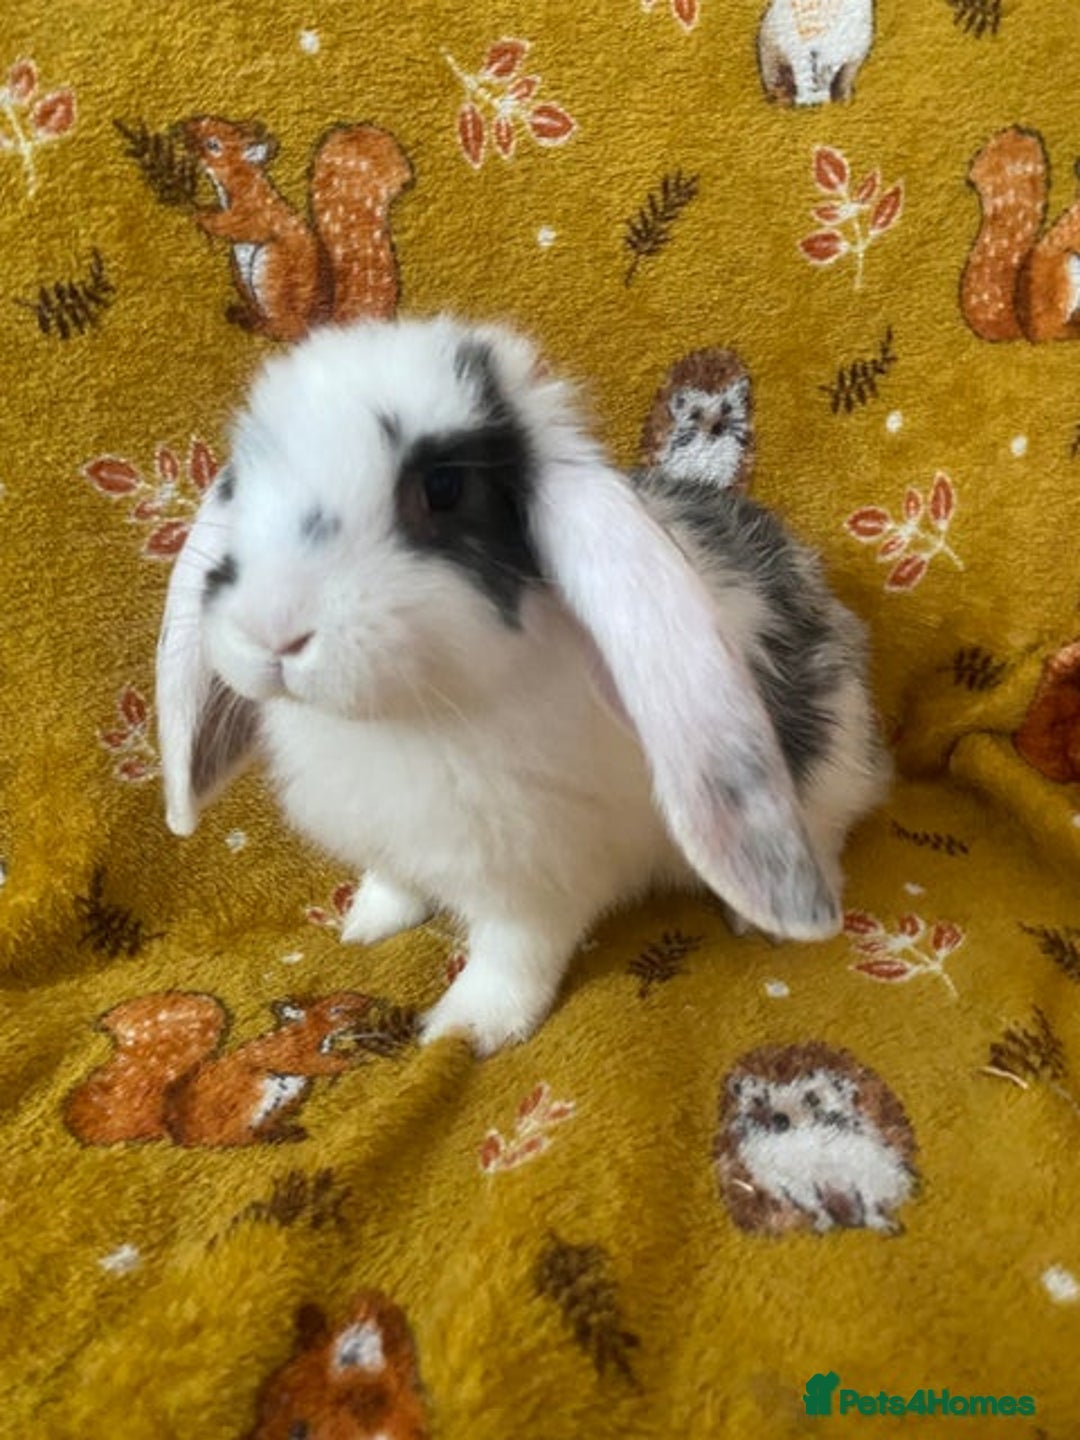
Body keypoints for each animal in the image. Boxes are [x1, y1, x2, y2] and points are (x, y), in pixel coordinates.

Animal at [156, 315, 890, 1056]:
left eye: (444, 488)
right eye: (241, 483)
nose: (270, 630)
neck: (402, 714)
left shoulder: (535, 881)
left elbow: (512, 956)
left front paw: (468, 1026)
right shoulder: (391, 841)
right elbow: (394, 882)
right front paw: (366, 924)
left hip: (826, 768)